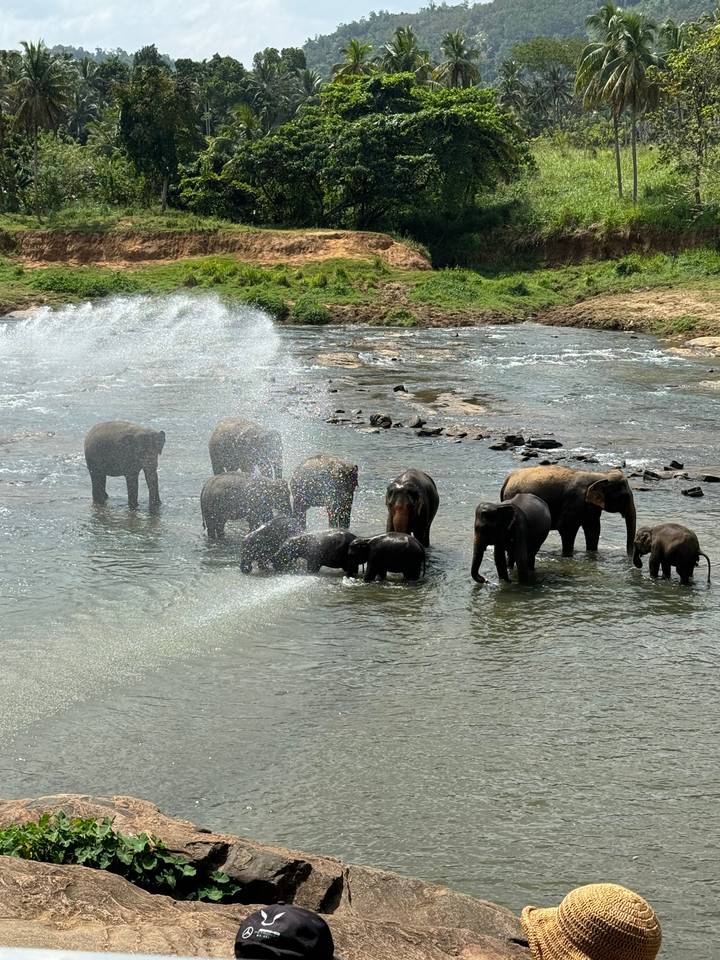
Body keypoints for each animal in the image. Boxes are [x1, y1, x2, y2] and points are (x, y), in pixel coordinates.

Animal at [501, 465, 637, 557]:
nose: (629, 557)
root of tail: (508, 479)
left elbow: (593, 529)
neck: (600, 475)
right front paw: (567, 556)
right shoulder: (575, 501)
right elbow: (567, 529)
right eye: (624, 496)